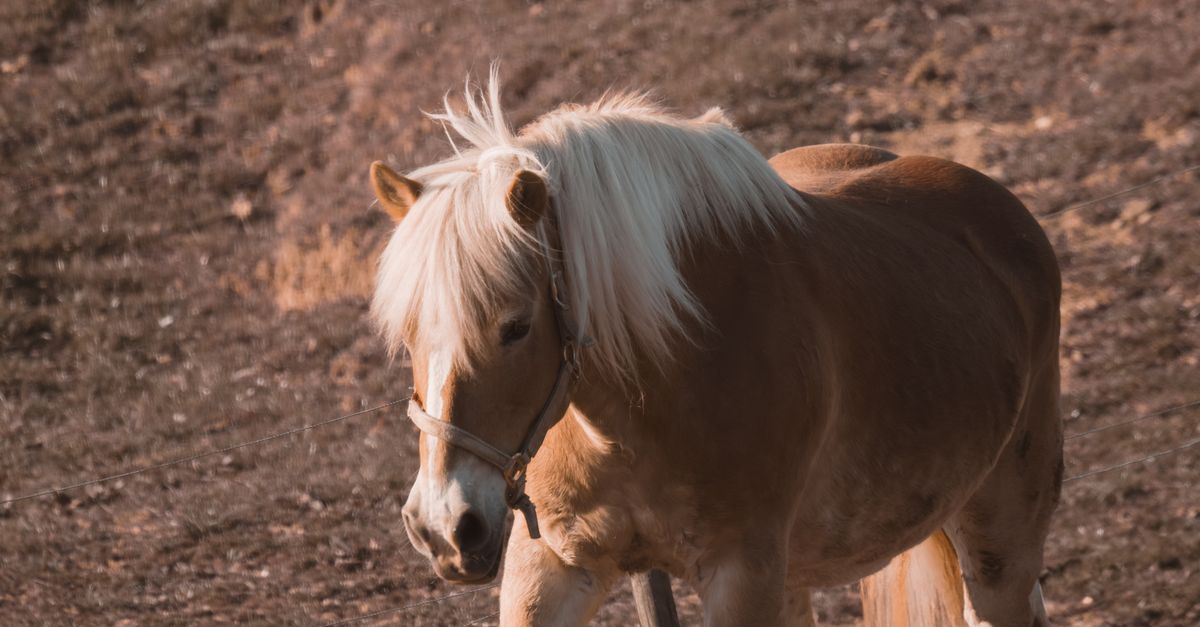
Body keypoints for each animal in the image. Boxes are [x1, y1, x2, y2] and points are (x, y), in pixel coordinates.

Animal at [367, 72, 1062, 627]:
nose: (442, 528)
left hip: (1000, 544)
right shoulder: (550, 568)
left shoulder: (740, 575)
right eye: (409, 332)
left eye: (515, 327)